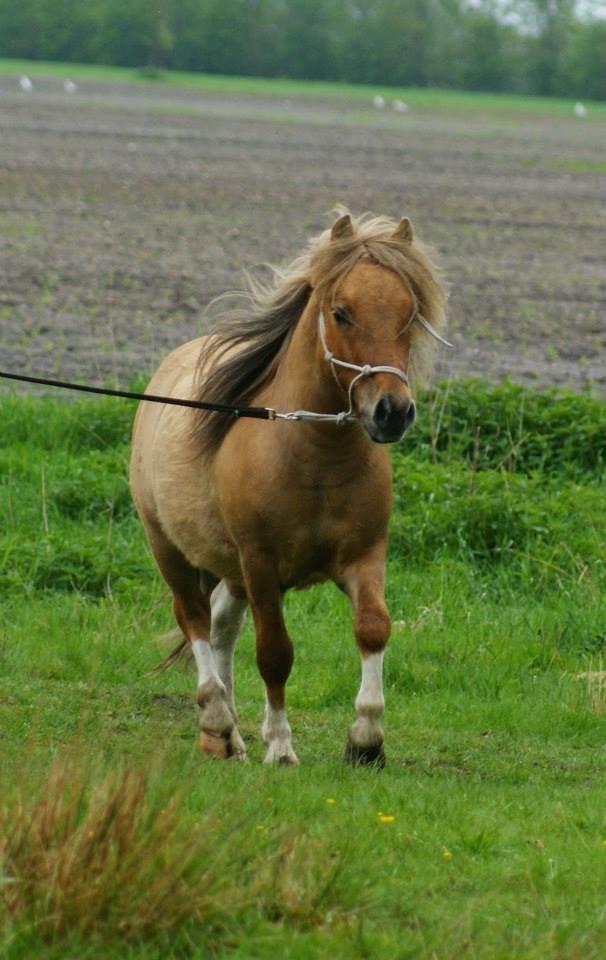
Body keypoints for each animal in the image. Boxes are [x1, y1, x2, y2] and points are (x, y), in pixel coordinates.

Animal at [131, 208, 448, 764]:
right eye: (341, 313)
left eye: (410, 313)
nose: (391, 412)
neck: (314, 460)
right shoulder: (261, 566)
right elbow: (275, 653)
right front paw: (280, 746)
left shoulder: (364, 557)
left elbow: (374, 628)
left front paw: (366, 739)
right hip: (171, 550)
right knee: (195, 620)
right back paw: (217, 719)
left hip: (230, 570)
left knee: (221, 627)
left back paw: (229, 736)